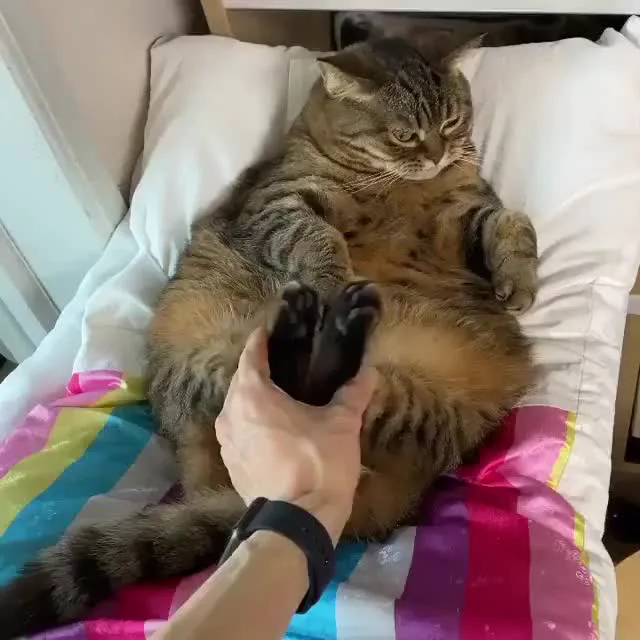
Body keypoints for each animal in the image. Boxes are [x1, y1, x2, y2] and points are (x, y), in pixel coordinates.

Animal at [0, 37, 537, 638]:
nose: (440, 153)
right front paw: (336, 279)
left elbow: (513, 220)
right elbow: (319, 236)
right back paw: (316, 321)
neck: (401, 184)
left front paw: (519, 277)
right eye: (404, 135)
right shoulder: (276, 205)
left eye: (451, 120)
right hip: (219, 367)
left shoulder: (469, 212)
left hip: (394, 401)